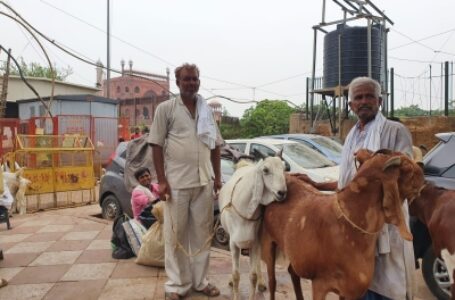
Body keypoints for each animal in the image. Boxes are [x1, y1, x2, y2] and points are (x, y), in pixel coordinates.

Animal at [219, 155, 286, 300]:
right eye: (265, 170)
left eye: (284, 168)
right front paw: (234, 290)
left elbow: (253, 275)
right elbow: (236, 275)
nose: (282, 192)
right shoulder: (233, 243)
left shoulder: (255, 242)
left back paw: (261, 282)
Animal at [262, 149, 426, 300]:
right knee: (272, 281)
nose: (423, 174)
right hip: (268, 241)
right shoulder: (320, 284)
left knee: (292, 272)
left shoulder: (349, 292)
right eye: (407, 168)